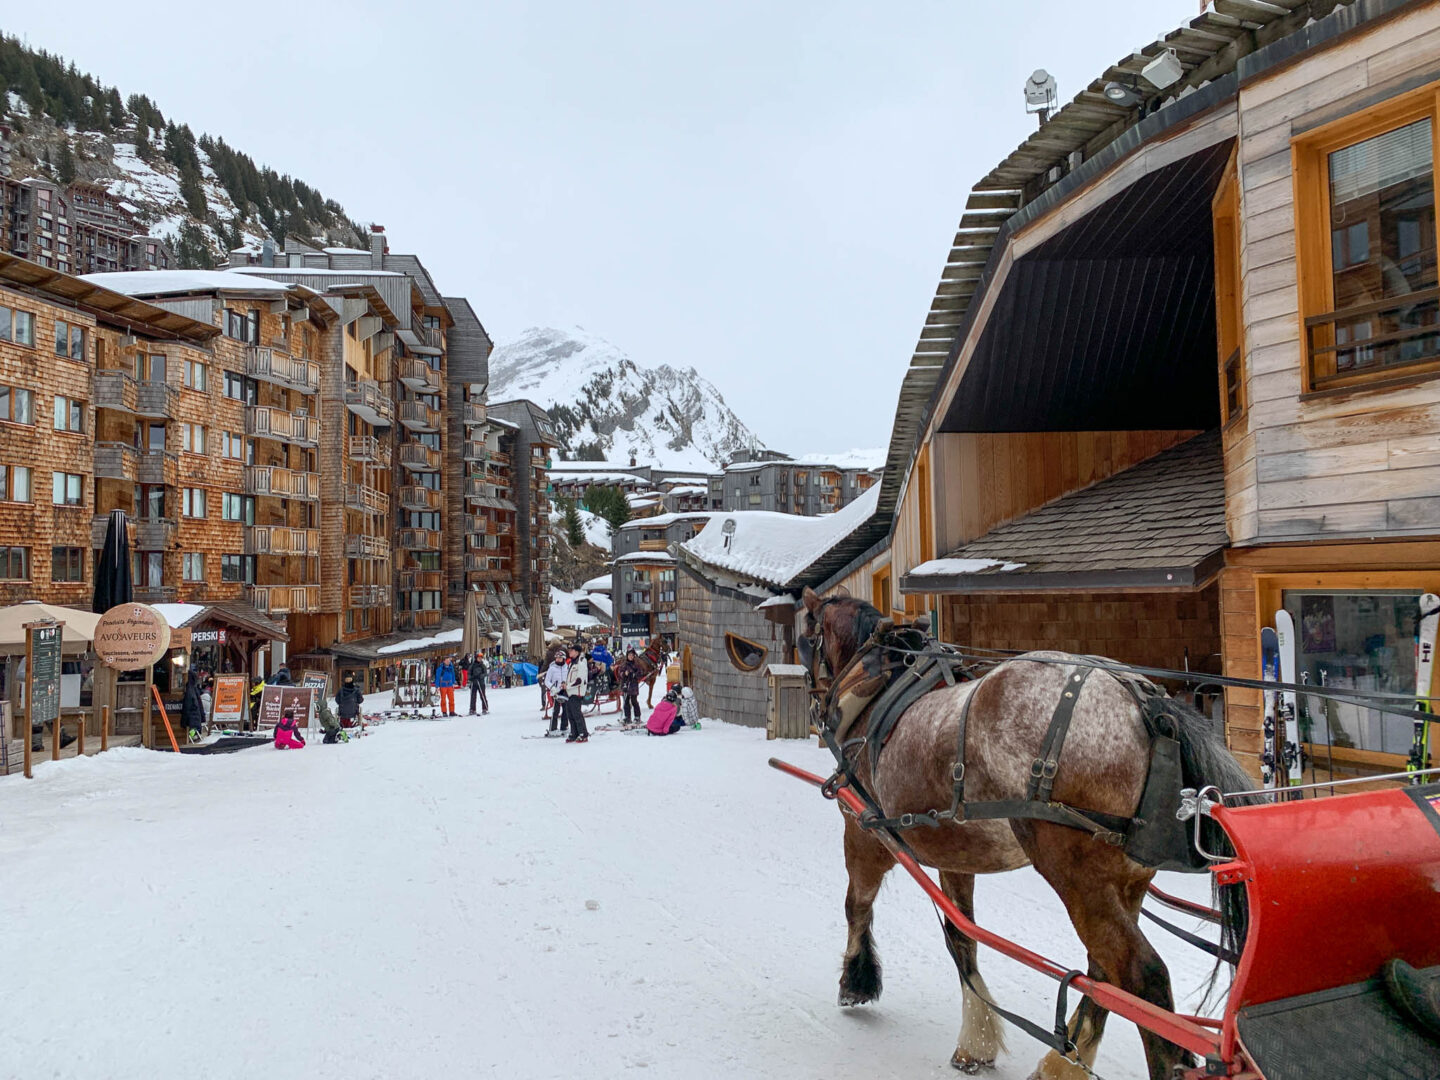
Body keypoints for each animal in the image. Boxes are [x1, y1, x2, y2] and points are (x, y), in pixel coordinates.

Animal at [800, 593, 1249, 1080]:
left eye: (806, 638)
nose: (817, 703)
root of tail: (1145, 705)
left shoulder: (862, 829)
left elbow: (857, 904)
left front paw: (856, 981)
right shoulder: (956, 855)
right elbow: (962, 936)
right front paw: (975, 1042)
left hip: (1075, 873)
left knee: (1142, 977)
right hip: (1128, 879)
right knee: (1104, 972)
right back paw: (1061, 1062)